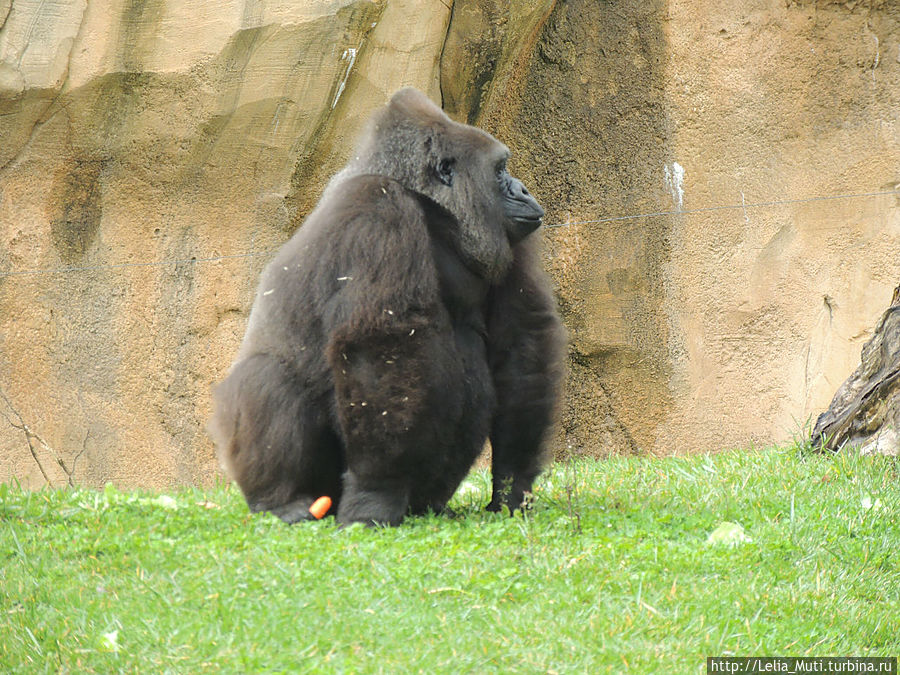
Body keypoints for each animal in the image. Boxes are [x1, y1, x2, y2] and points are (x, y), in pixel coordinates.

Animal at [209, 87, 564, 524]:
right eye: (499, 171)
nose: (524, 190)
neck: (430, 205)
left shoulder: (508, 232)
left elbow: (520, 341)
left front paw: (513, 488)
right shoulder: (379, 211)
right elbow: (379, 347)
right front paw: (375, 492)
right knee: (267, 375)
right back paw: (281, 499)